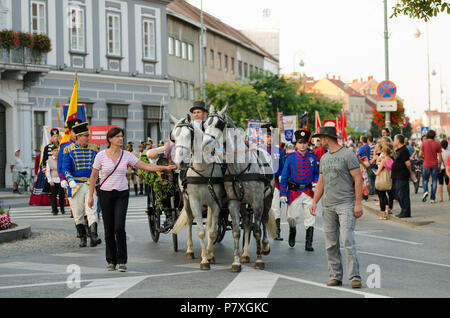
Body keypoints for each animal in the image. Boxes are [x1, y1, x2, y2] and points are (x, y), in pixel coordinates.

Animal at [171, 115, 225, 270]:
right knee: (190, 220)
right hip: (186, 200)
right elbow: (200, 232)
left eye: (189, 136)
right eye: (173, 138)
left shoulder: (215, 202)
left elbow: (211, 231)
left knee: (210, 224)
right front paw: (204, 260)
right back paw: (190, 250)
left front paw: (209, 255)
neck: (203, 171)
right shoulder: (195, 201)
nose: (180, 163)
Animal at [203, 105, 274, 270]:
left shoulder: (257, 202)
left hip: (268, 197)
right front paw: (236, 262)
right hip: (243, 203)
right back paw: (245, 254)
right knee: (247, 222)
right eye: (204, 125)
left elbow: (257, 230)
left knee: (264, 220)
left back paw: (265, 246)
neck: (240, 168)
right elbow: (236, 231)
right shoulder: (234, 202)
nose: (204, 147)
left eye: (218, 125)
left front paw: (259, 260)